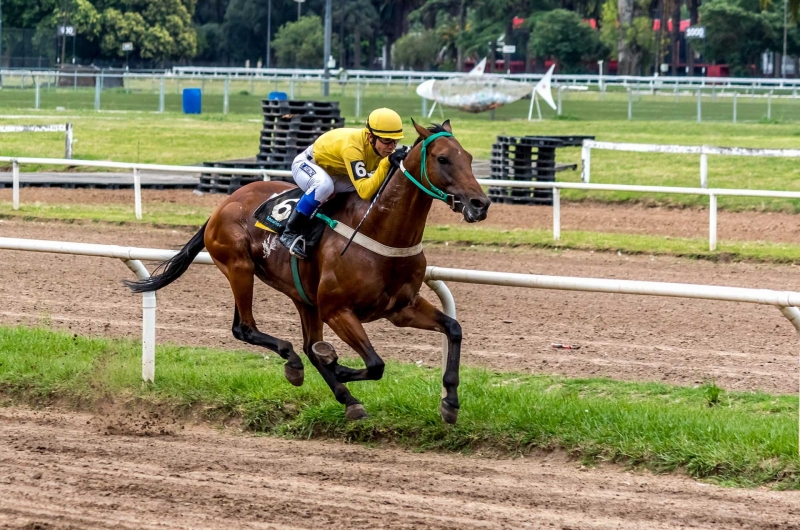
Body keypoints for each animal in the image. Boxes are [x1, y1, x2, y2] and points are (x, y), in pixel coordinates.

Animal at [125, 118, 488, 420]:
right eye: (443, 159)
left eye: (469, 157)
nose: (480, 204)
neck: (381, 231)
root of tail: (223, 204)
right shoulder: (337, 309)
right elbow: (375, 364)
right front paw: (339, 366)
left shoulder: (402, 308)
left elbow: (453, 329)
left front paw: (450, 401)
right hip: (240, 267)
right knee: (246, 328)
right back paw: (299, 365)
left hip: (302, 295)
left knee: (304, 345)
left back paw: (345, 396)